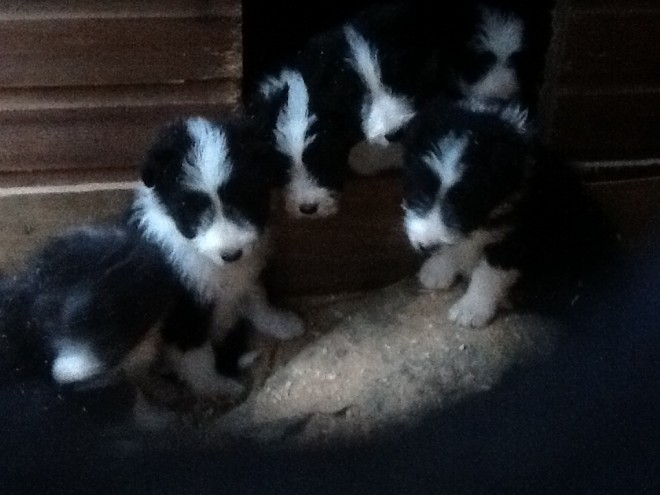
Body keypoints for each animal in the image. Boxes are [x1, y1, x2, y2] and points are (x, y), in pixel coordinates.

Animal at [402, 98, 612, 328]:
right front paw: (439, 268)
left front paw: (471, 308)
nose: (426, 246)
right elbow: (456, 246)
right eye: (422, 190)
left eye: (466, 201)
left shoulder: (516, 238)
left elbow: (488, 273)